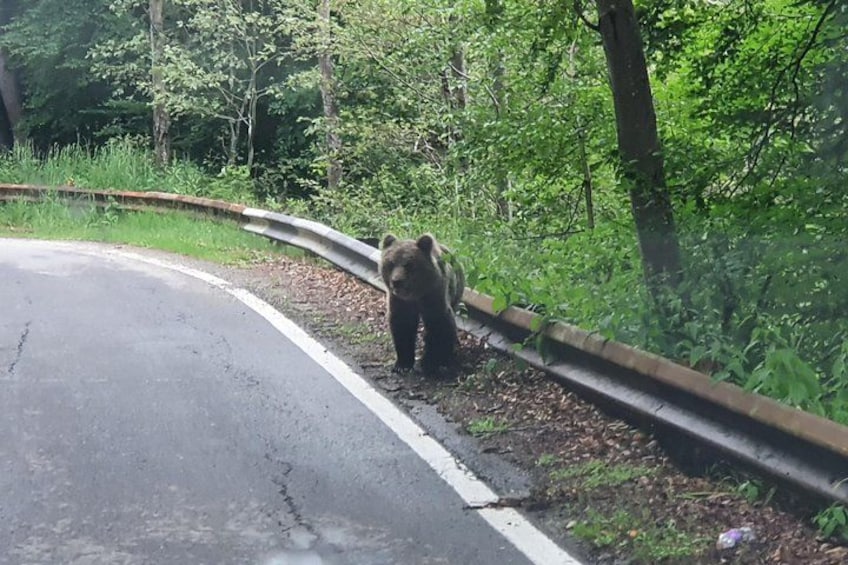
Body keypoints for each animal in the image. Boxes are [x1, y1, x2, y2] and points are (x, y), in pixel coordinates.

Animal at [379, 233, 465, 373]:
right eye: (391, 263)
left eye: (408, 264)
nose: (396, 281)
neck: (415, 295)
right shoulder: (400, 301)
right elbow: (402, 326)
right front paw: (402, 364)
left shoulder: (433, 295)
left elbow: (439, 324)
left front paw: (431, 363)